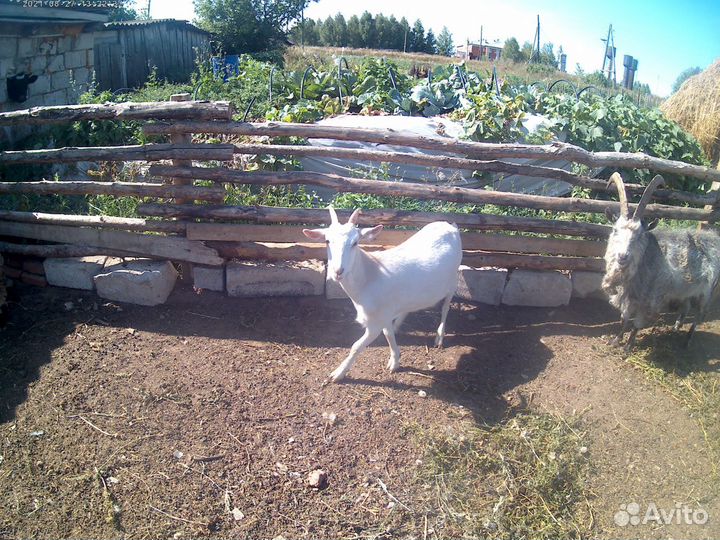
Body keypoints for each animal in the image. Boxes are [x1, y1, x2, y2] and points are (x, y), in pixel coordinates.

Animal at [303, 207, 462, 382]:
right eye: (327, 241)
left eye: (355, 242)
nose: (338, 271)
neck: (369, 276)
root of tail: (450, 225)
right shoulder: (384, 313)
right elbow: (388, 334)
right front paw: (395, 360)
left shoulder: (375, 322)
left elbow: (356, 346)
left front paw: (338, 373)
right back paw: (398, 324)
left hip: (454, 278)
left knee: (446, 306)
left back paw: (439, 336)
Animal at [602, 172, 720, 351]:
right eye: (615, 230)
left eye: (640, 235)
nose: (622, 256)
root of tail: (714, 237)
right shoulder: (629, 295)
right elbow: (624, 317)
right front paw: (616, 340)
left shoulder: (650, 298)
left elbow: (637, 323)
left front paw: (628, 347)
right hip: (686, 290)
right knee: (686, 306)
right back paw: (675, 328)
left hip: (709, 291)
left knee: (700, 314)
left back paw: (687, 340)